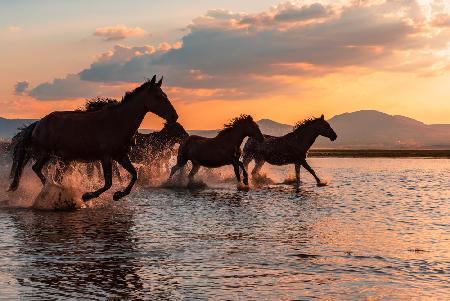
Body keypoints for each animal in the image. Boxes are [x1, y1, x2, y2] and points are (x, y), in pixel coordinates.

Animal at [8, 75, 178, 200]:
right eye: (158, 96)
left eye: (165, 95)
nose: (174, 116)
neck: (118, 121)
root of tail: (38, 123)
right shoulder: (106, 157)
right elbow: (108, 182)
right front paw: (88, 195)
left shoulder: (121, 156)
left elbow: (134, 175)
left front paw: (119, 195)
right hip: (46, 154)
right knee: (36, 169)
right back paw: (52, 189)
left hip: (57, 157)